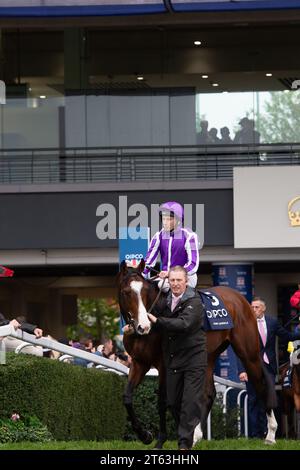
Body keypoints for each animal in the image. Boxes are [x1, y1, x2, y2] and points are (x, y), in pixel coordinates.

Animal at [118, 260, 278, 448]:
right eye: (126, 292)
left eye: (144, 291)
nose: (143, 326)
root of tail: (240, 298)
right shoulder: (139, 363)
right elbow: (127, 397)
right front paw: (144, 435)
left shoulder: (164, 365)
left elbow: (163, 400)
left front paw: (160, 440)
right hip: (209, 356)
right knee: (209, 394)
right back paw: (196, 435)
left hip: (248, 353)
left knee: (260, 385)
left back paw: (271, 434)